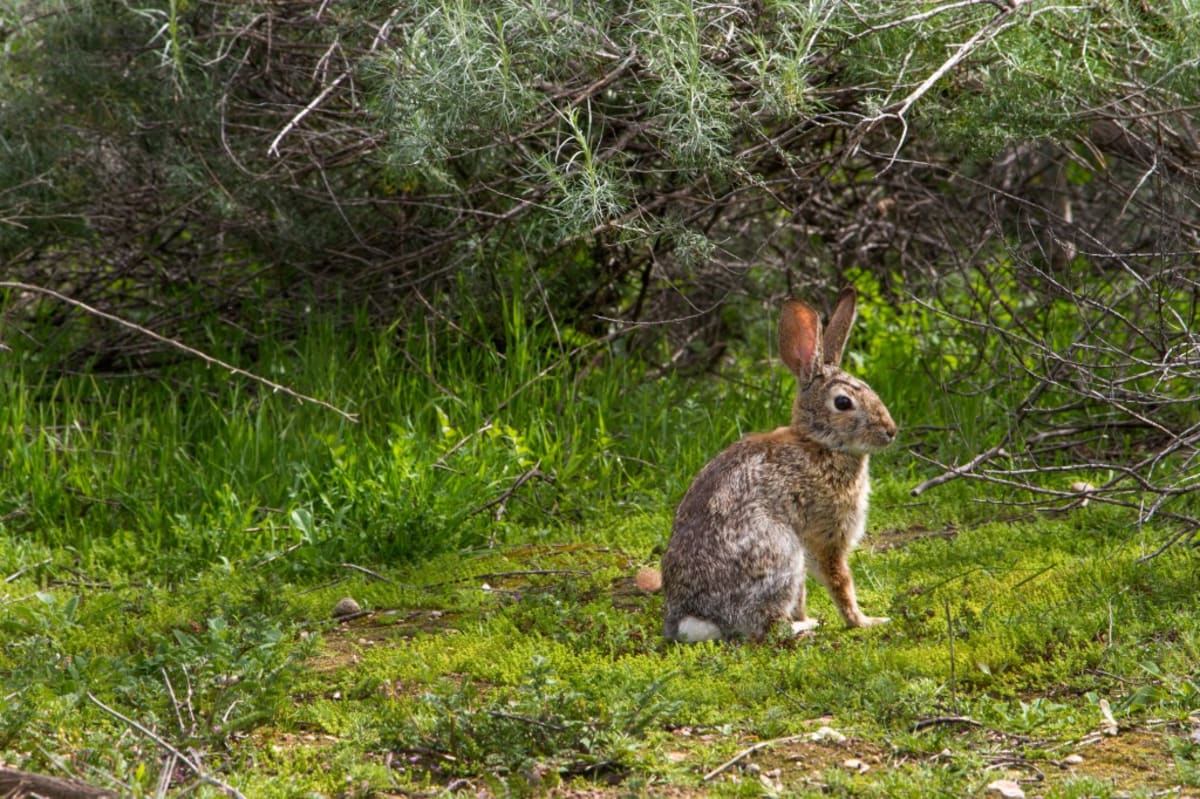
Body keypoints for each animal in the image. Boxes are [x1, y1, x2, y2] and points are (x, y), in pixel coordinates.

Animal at [661, 287, 896, 642]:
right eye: (843, 402)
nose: (890, 431)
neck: (818, 443)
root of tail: (697, 619)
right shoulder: (826, 535)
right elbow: (840, 580)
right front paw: (864, 621)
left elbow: (805, 594)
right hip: (781, 550)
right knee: (766, 628)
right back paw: (807, 626)